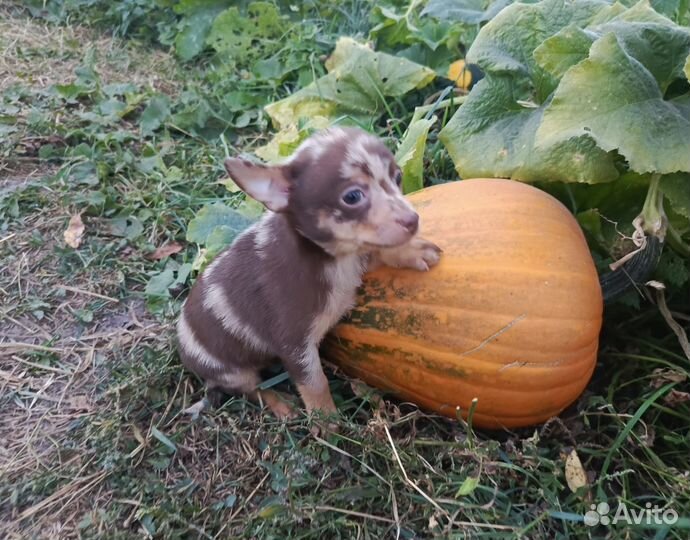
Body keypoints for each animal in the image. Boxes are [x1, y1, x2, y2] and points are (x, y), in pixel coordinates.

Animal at [175, 126, 438, 422]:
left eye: (398, 177)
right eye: (352, 197)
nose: (413, 220)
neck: (331, 258)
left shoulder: (355, 259)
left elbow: (377, 250)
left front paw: (411, 251)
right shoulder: (294, 345)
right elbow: (315, 383)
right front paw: (327, 422)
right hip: (230, 371)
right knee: (251, 389)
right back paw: (280, 403)